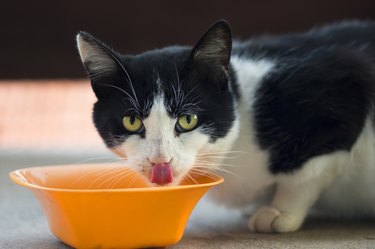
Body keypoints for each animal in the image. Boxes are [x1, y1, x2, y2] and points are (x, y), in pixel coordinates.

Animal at [76, 20, 375, 233]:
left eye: (187, 120)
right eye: (132, 121)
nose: (160, 161)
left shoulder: (343, 83)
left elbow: (307, 173)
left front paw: (280, 212)